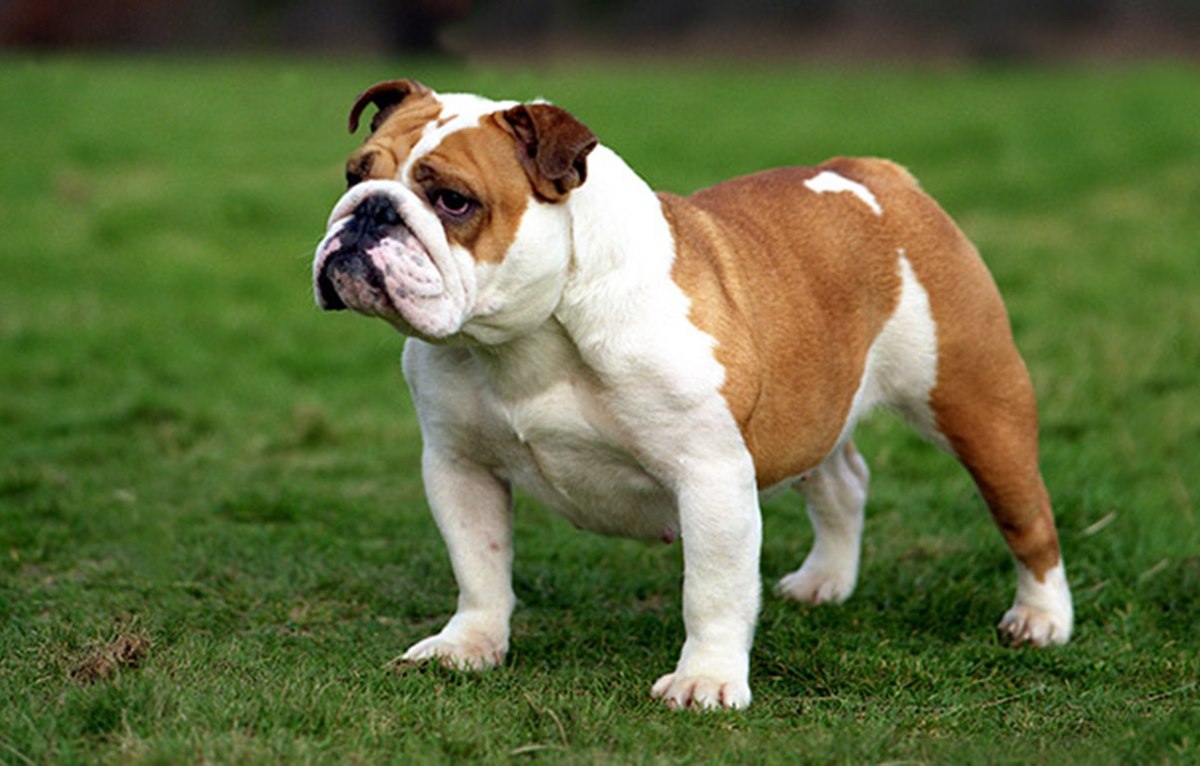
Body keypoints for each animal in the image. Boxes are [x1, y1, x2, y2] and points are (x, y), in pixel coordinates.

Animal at [309, 81, 1070, 710]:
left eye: (453, 201)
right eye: (354, 175)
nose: (367, 213)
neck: (531, 336)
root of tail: (876, 174)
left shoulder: (709, 476)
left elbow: (712, 590)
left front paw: (705, 681)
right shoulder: (458, 467)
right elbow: (480, 567)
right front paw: (468, 645)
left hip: (976, 401)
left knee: (1026, 515)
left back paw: (1042, 619)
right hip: (811, 407)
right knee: (842, 482)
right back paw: (825, 580)